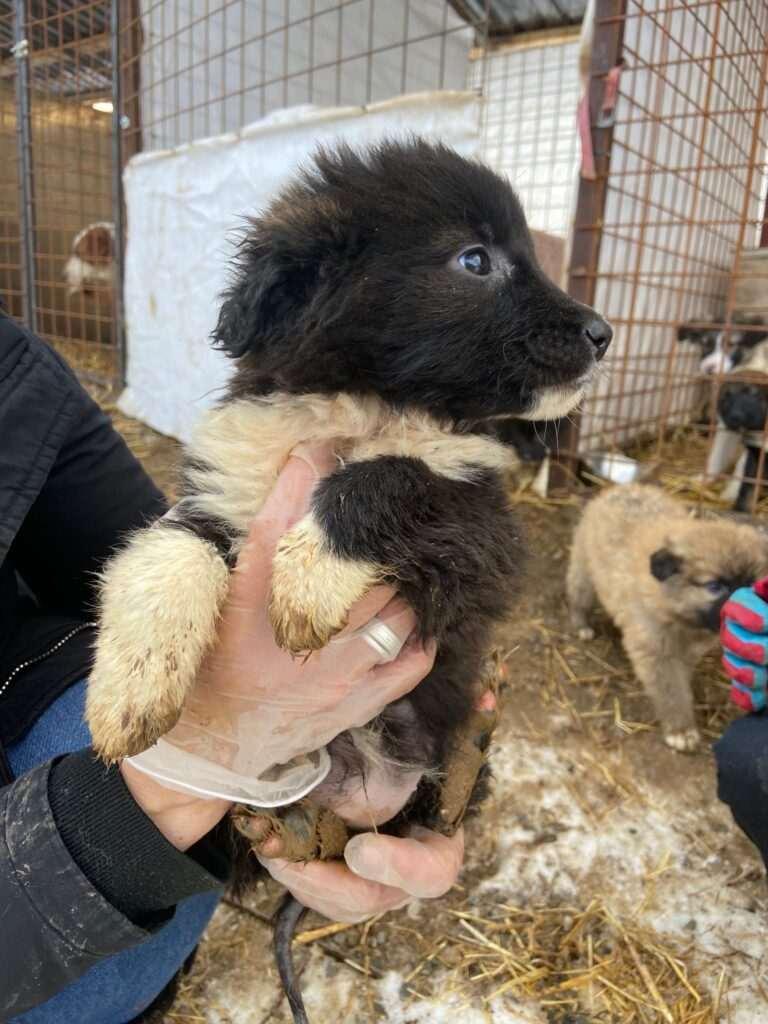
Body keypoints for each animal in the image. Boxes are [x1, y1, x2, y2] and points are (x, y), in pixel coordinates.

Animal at [567, 484, 768, 752]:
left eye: (751, 584)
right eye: (714, 586)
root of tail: (620, 489)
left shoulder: (687, 653)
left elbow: (682, 682)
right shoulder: (657, 654)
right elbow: (671, 692)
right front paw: (681, 731)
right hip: (584, 568)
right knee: (578, 595)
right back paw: (581, 625)